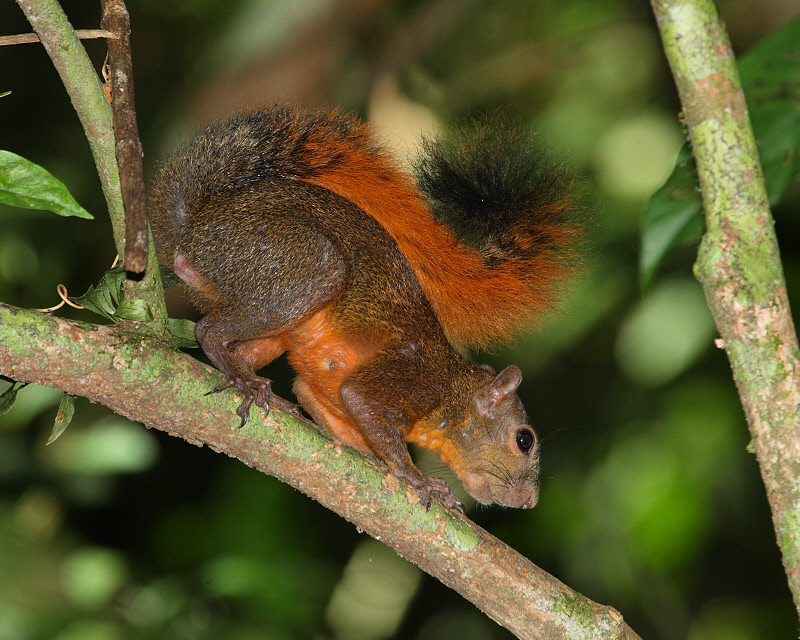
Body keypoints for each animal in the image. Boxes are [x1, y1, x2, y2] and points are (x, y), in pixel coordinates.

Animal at [148, 107, 580, 512]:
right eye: (524, 440)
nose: (529, 502)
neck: (452, 389)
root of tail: (196, 228)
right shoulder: (415, 377)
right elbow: (360, 398)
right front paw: (419, 478)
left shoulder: (320, 396)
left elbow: (337, 416)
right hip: (299, 264)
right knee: (210, 330)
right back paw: (241, 377)